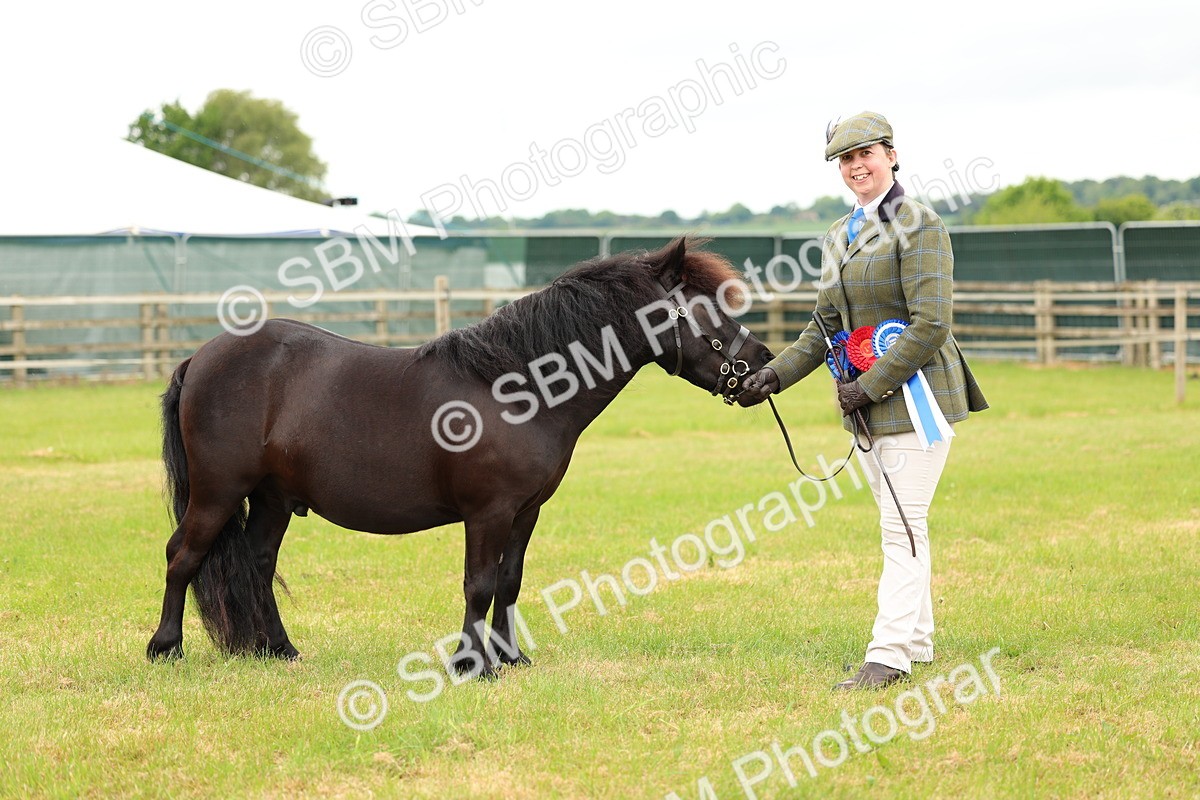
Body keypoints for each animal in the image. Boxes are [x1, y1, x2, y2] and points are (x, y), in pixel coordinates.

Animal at [146, 236, 773, 676]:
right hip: (219, 492)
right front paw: (472, 665)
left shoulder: (525, 512)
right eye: (706, 309)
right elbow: (479, 584)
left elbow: (510, 581)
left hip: (273, 499)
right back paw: (166, 649)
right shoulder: (486, 512)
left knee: (256, 563)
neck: (517, 389)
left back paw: (275, 650)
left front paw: (511, 659)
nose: (762, 364)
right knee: (183, 555)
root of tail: (199, 358)